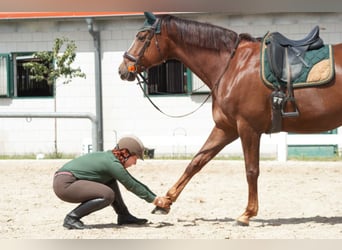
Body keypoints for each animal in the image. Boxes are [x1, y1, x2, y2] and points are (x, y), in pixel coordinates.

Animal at [118, 12, 342, 226]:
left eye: (141, 37)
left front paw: (247, 214)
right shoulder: (226, 128)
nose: (122, 69)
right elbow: (196, 162)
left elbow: (251, 170)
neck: (232, 67)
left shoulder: (248, 128)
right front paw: (164, 202)